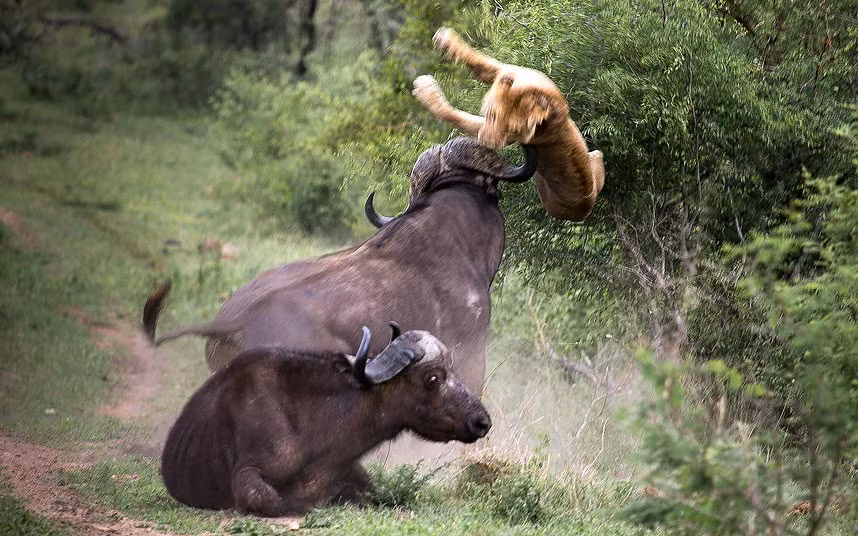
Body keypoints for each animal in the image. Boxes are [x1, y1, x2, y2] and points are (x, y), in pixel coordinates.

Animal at [412, 27, 605, 221]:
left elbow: (456, 116)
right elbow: (478, 61)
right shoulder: (507, 70)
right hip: (595, 155)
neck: (530, 91)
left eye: (514, 130)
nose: (489, 140)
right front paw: (446, 40)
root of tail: (586, 208)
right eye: (493, 115)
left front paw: (426, 91)